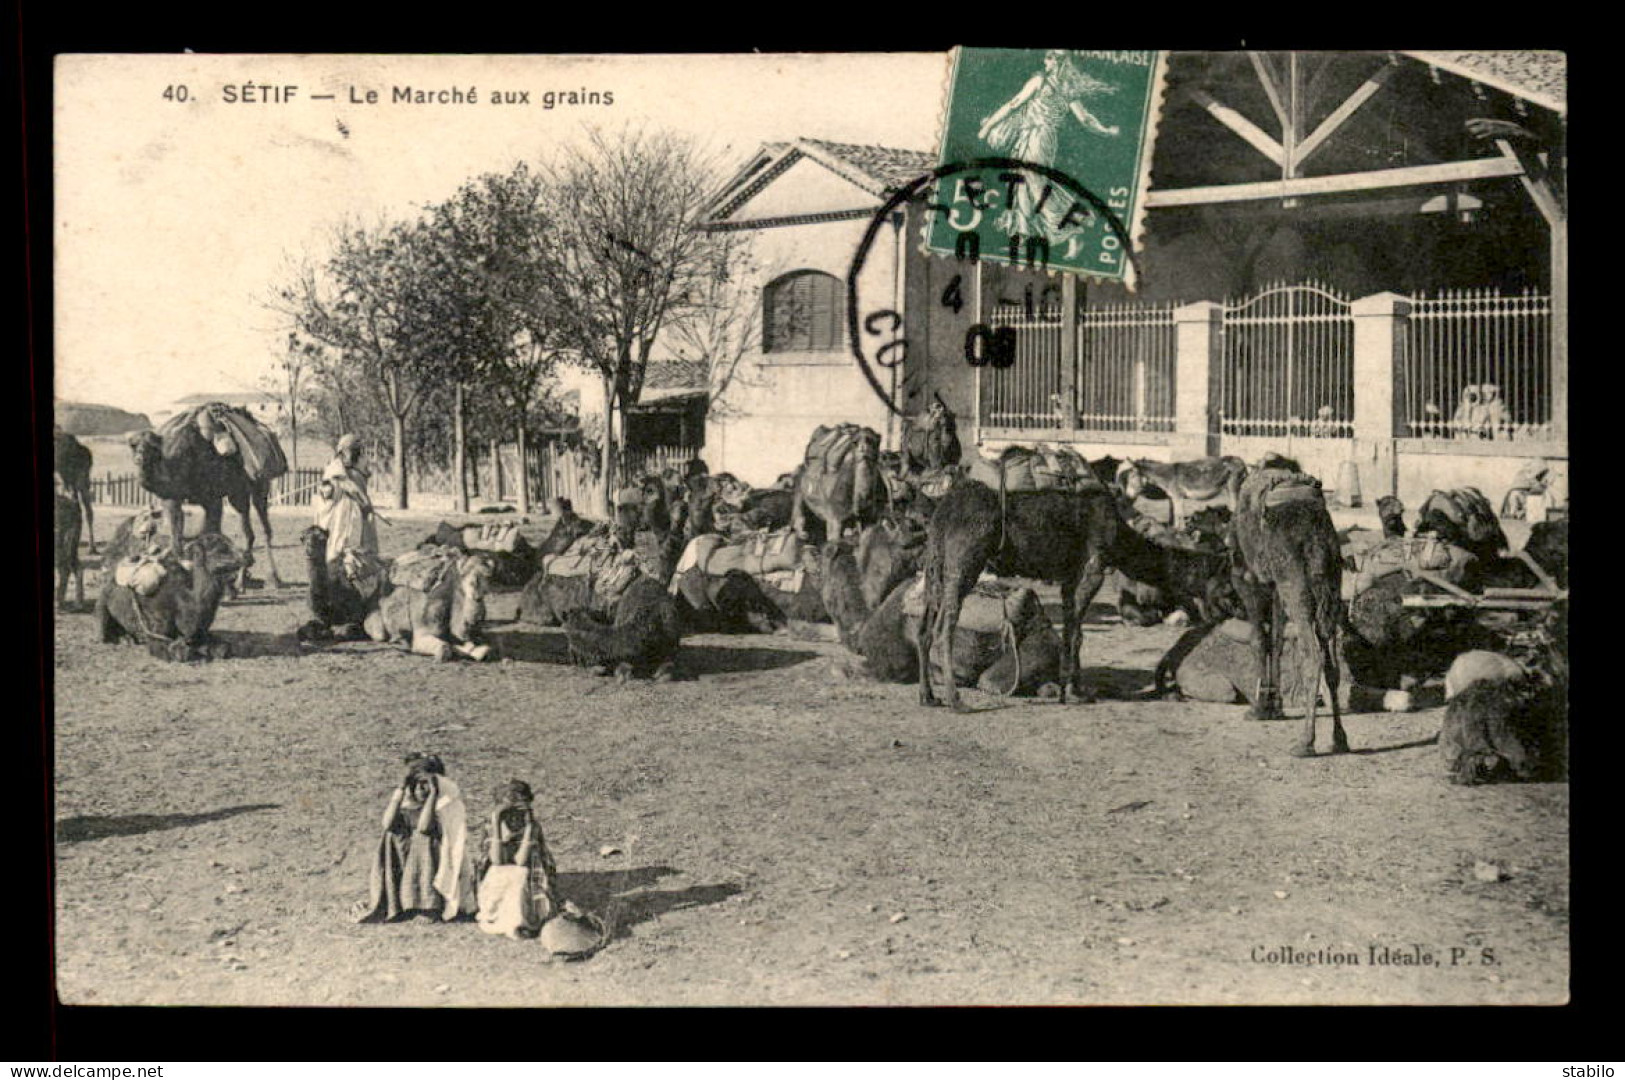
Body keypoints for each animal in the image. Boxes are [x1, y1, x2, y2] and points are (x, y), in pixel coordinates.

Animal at [94, 529, 240, 656]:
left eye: (230, 543)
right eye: (219, 550)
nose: (242, 558)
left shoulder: (201, 633)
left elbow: (224, 649)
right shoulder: (156, 630)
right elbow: (179, 653)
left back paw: (128, 638)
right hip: (102, 602)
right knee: (103, 631)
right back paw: (122, 639)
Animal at [128, 422, 284, 591]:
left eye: (151, 446)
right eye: (134, 445)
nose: (139, 457)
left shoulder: (212, 499)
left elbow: (211, 532)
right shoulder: (173, 498)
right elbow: (178, 534)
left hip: (259, 485)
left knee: (264, 527)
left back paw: (273, 579)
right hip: (238, 494)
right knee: (248, 531)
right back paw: (242, 581)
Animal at [1222, 467, 1352, 753]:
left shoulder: (1249, 580)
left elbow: (1259, 640)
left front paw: (1260, 708)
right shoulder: (1274, 587)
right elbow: (1277, 641)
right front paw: (1275, 706)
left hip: (1294, 582)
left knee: (1312, 655)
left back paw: (1305, 743)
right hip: (1330, 583)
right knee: (1331, 661)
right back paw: (1339, 739)